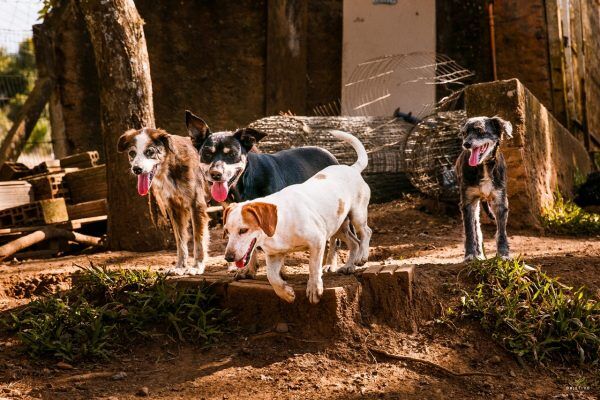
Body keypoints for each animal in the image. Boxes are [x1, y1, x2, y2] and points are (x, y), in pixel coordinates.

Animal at [118, 128, 210, 276]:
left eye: (150, 152)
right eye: (132, 153)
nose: (137, 169)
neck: (171, 165)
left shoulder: (196, 205)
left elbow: (198, 240)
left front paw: (197, 266)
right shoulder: (174, 208)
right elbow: (180, 241)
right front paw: (180, 267)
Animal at [221, 130, 370, 304]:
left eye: (243, 230)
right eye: (227, 232)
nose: (228, 257)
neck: (279, 224)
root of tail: (352, 168)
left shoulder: (317, 241)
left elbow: (313, 267)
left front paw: (314, 288)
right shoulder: (274, 255)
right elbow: (272, 277)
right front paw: (286, 293)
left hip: (357, 215)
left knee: (366, 233)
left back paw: (362, 257)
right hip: (338, 226)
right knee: (354, 242)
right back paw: (349, 266)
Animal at [458, 115, 512, 262]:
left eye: (480, 131)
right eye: (464, 133)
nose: (466, 144)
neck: (483, 165)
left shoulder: (500, 201)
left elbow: (501, 232)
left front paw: (503, 254)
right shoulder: (468, 203)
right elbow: (470, 231)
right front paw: (470, 254)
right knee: (476, 227)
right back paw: (478, 253)